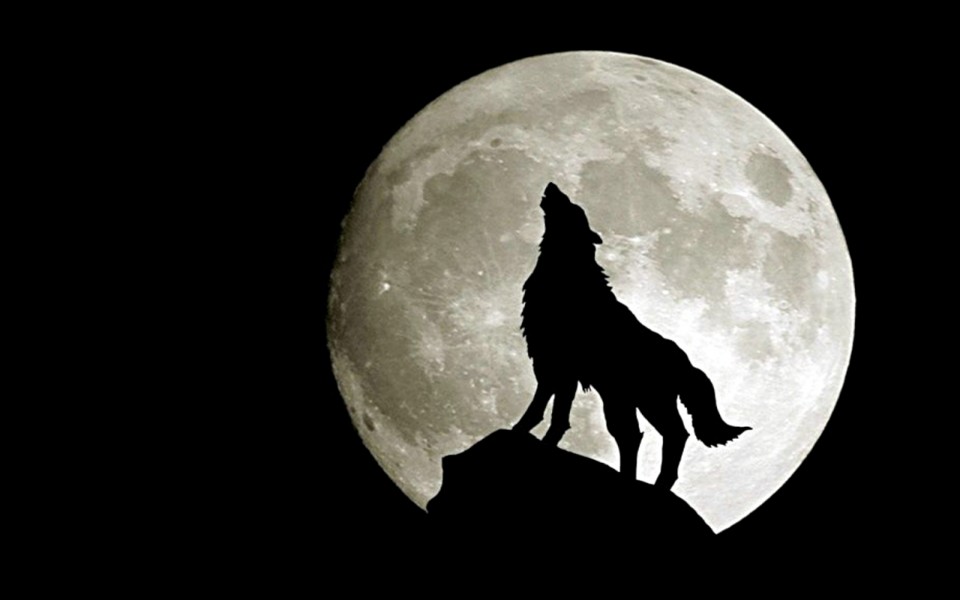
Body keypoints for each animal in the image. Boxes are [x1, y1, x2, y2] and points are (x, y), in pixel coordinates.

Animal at [513, 182, 750, 489]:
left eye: (573, 208)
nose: (553, 186)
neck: (568, 273)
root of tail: (686, 362)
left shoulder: (556, 364)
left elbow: (541, 409)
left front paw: (519, 432)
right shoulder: (561, 370)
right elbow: (557, 415)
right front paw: (542, 441)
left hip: (644, 401)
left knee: (668, 435)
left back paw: (654, 484)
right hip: (623, 400)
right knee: (635, 436)